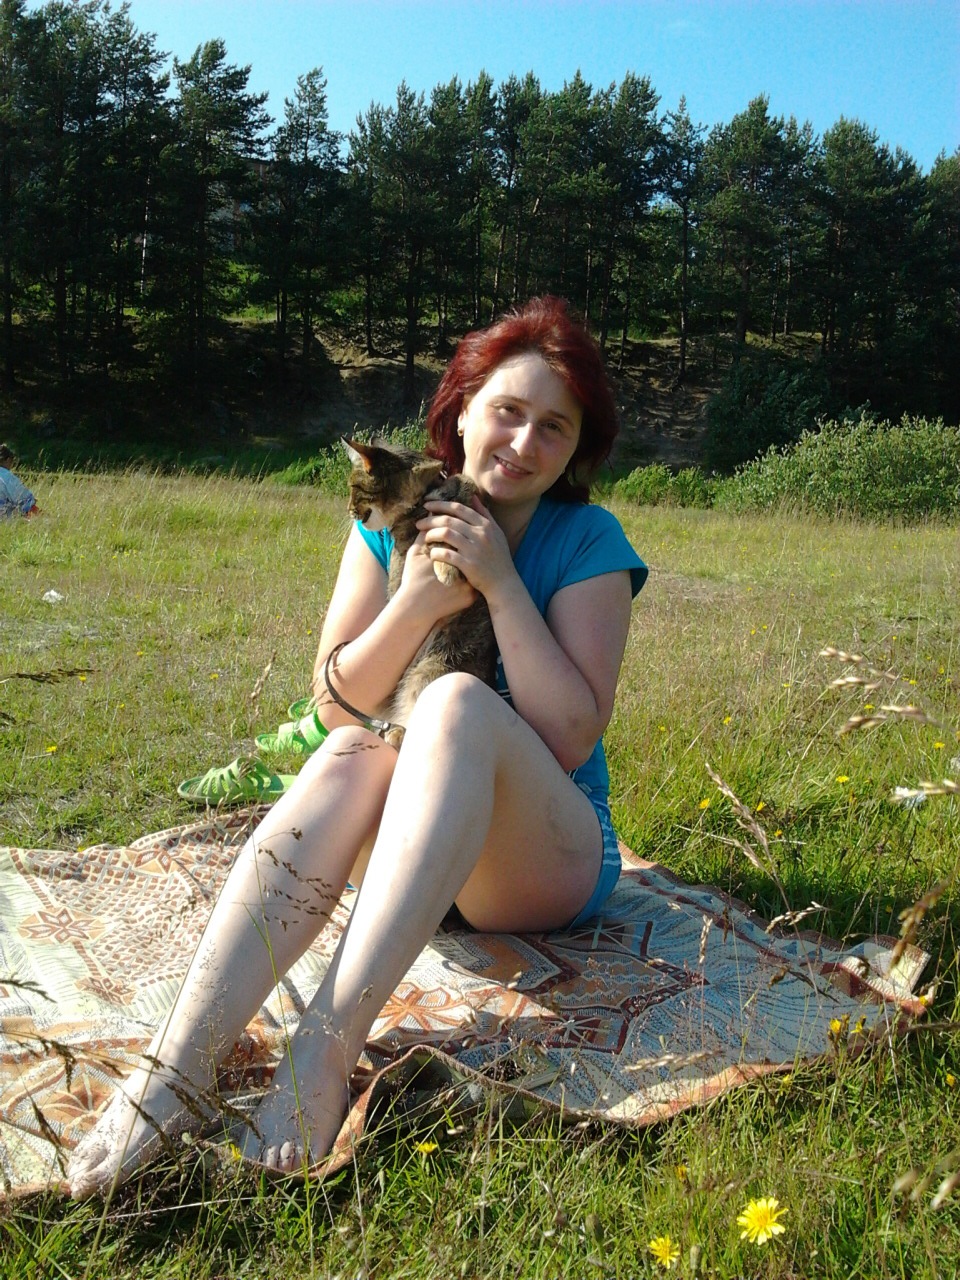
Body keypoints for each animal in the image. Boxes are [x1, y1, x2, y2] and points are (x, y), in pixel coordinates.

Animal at [342, 438, 497, 746]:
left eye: (354, 487)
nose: (349, 511)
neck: (418, 504)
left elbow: (460, 488)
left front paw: (445, 568)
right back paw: (396, 734)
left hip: (432, 669)